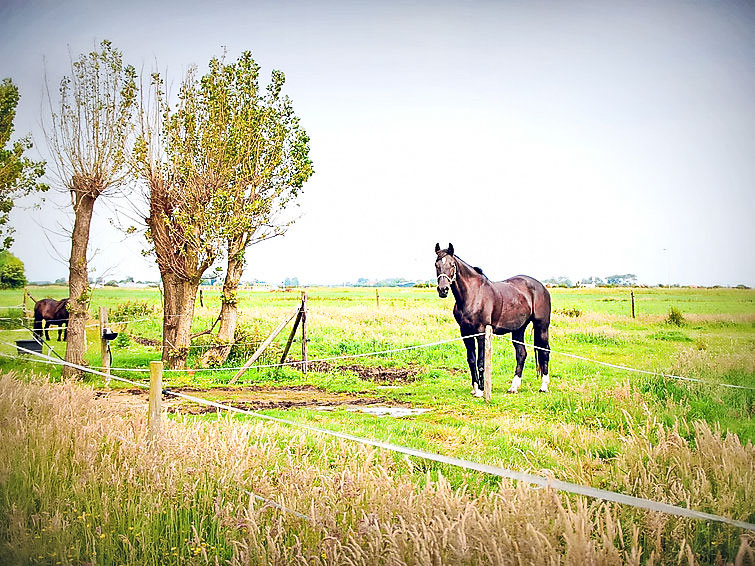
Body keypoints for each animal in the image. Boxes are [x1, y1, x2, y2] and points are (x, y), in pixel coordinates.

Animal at [434, 242, 552, 398]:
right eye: (436, 264)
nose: (443, 289)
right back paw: (513, 387)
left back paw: (544, 386)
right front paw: (475, 388)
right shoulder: (465, 333)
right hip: (518, 329)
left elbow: (481, 361)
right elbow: (471, 360)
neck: (473, 295)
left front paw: (481, 390)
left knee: (545, 351)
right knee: (521, 354)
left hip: (542, 326)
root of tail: (542, 287)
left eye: (452, 264)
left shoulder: (481, 333)